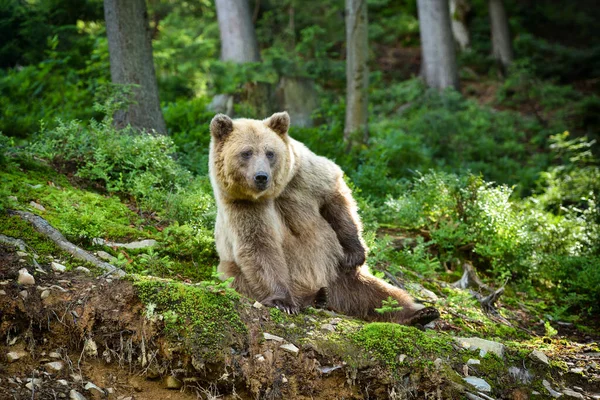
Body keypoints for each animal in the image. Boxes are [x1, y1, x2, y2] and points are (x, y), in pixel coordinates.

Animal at [209, 111, 438, 324]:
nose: (261, 177)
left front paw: (354, 253)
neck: (274, 193)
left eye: (270, 152)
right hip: (233, 270)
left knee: (380, 293)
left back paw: (422, 313)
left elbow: (335, 198)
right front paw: (283, 302)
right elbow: (259, 246)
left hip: (339, 275)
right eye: (246, 152)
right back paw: (315, 298)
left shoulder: (303, 176)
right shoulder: (242, 206)